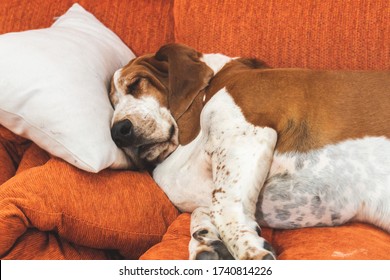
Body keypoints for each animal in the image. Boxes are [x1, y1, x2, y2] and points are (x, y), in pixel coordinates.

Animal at [109, 42, 390, 260]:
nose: (117, 131)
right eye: (112, 103)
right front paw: (205, 241)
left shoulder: (247, 132)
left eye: (135, 84)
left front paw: (249, 250)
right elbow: (203, 210)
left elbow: (223, 208)